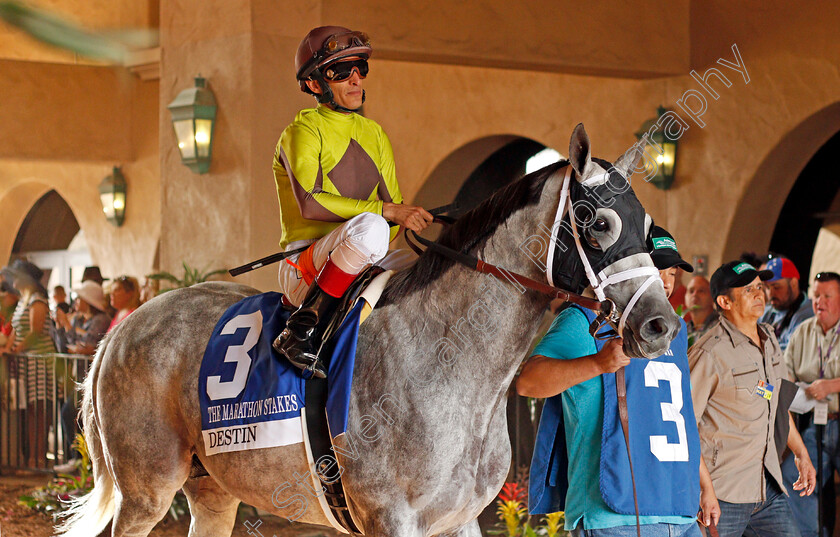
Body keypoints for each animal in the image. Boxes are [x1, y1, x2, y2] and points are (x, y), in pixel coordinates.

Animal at [59, 124, 680, 536]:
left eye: (650, 226)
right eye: (598, 224)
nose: (660, 324)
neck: (449, 364)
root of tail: (121, 331)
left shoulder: (459, 520)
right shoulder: (389, 517)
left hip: (212, 490)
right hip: (147, 488)